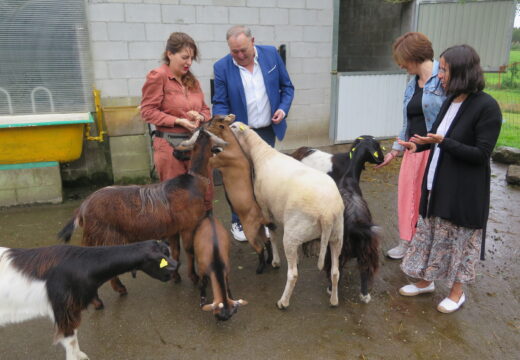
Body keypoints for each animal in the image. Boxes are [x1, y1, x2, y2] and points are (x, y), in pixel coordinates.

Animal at [0, 239, 177, 360]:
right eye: (163, 259)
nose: (176, 268)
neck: (81, 264)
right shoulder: (64, 310)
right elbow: (70, 339)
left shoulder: (73, 310)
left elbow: (74, 336)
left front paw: (80, 355)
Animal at [58, 127, 226, 310]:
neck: (193, 182)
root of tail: (82, 208)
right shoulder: (188, 226)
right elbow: (189, 251)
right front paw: (194, 277)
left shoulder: (173, 229)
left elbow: (175, 251)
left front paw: (175, 276)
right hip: (105, 236)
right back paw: (109, 296)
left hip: (93, 238)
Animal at [206, 114, 274, 272]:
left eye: (211, 123)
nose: (202, 125)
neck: (233, 146)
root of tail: (261, 216)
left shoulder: (216, 161)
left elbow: (212, 157)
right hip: (259, 230)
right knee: (267, 242)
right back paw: (269, 261)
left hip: (250, 231)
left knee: (259, 248)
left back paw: (260, 268)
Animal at [229, 122, 344, 308]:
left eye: (232, 126)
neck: (262, 154)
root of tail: (327, 213)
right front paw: (295, 258)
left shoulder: (265, 208)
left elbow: (273, 235)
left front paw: (275, 261)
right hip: (336, 234)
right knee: (335, 271)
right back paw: (334, 300)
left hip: (295, 232)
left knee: (293, 274)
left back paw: (283, 302)